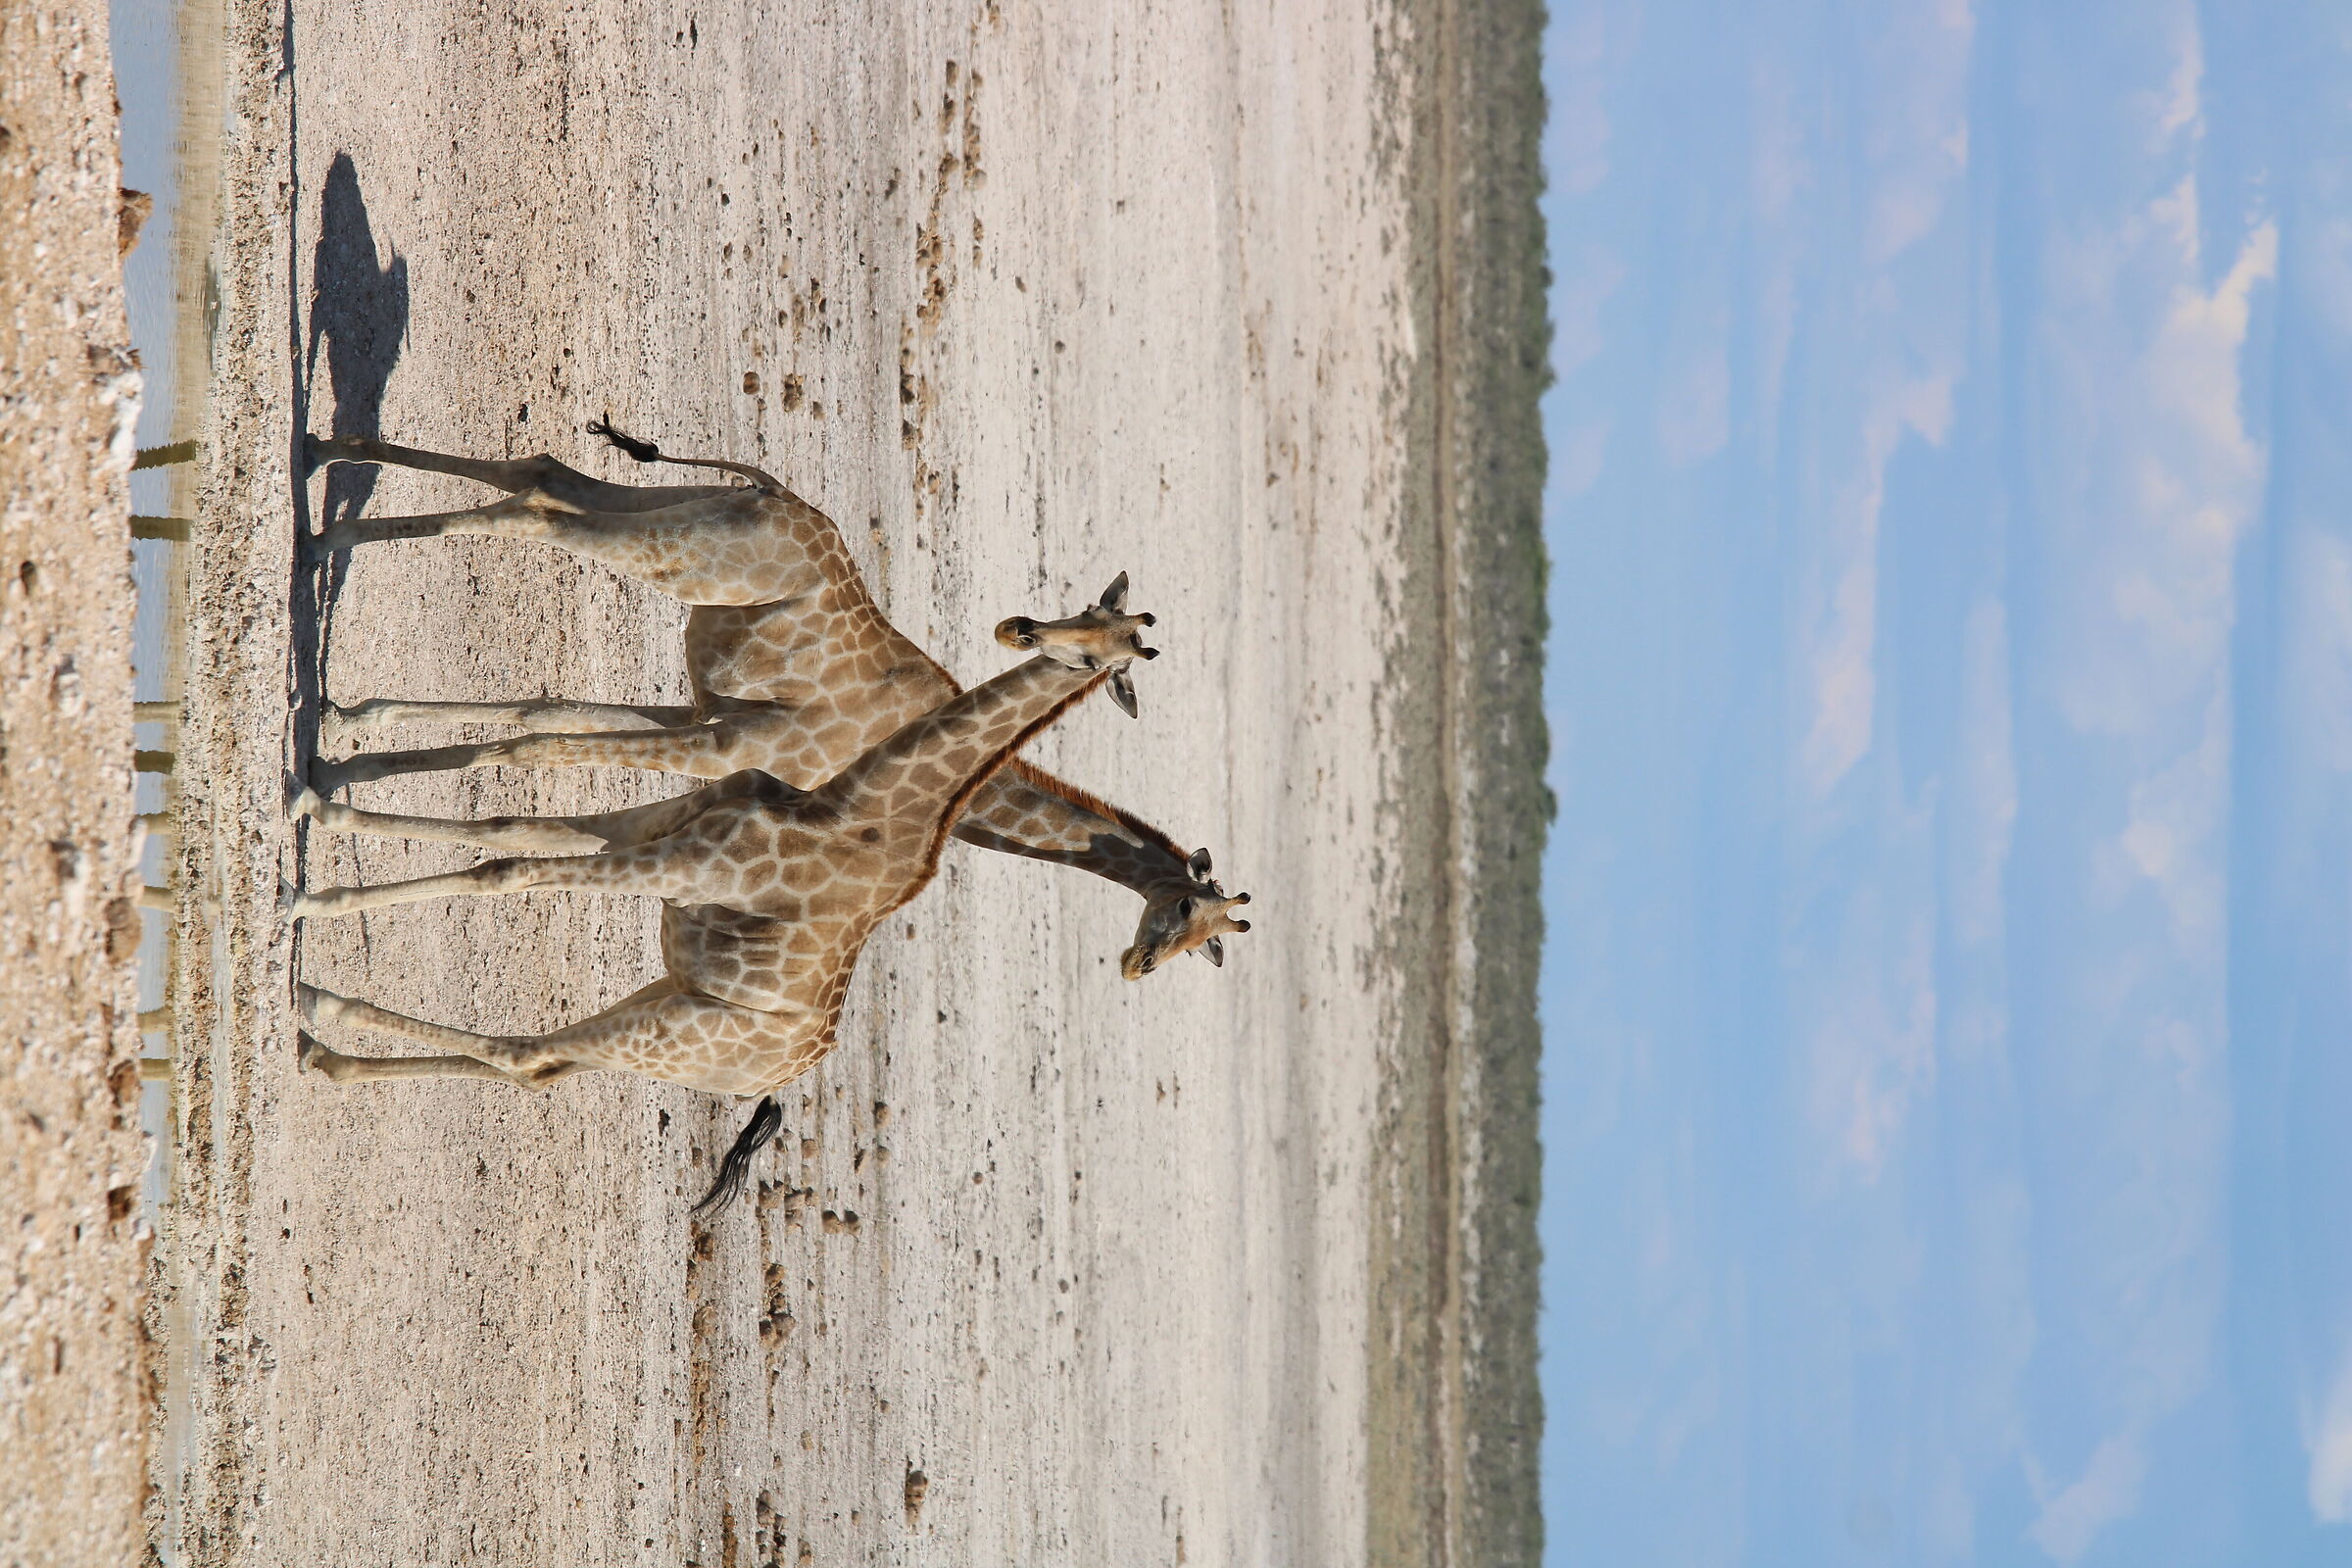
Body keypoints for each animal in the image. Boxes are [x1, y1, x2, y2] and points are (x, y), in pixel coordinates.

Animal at [293, 583, 1159, 1207]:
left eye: (1106, 656)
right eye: (1086, 613)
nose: (1024, 630)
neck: (845, 809)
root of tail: (774, 1082)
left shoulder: (682, 864)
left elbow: (506, 869)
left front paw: (311, 889)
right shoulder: (666, 826)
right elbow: (511, 829)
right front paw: (325, 797)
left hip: (669, 1032)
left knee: (528, 1055)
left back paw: (320, 1020)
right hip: (665, 1005)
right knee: (545, 1065)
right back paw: (328, 1041)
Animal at [300, 427, 1249, 977]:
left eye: (1186, 927)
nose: (1138, 963)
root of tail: (773, 495)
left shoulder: (705, 720)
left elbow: (540, 720)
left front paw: (343, 750)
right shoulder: (729, 743)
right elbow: (537, 747)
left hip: (669, 513)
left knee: (543, 472)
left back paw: (319, 467)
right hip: (670, 550)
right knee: (533, 511)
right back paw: (324, 524)